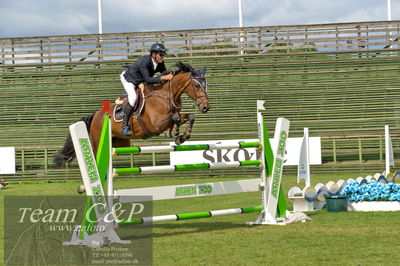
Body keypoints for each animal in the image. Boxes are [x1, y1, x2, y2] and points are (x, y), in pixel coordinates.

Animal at [54, 62, 211, 166]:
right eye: (196, 85)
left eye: (206, 85)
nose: (205, 107)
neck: (166, 95)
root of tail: (96, 115)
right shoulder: (155, 125)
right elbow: (175, 117)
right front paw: (174, 133)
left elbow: (189, 117)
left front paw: (181, 136)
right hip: (99, 142)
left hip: (119, 142)